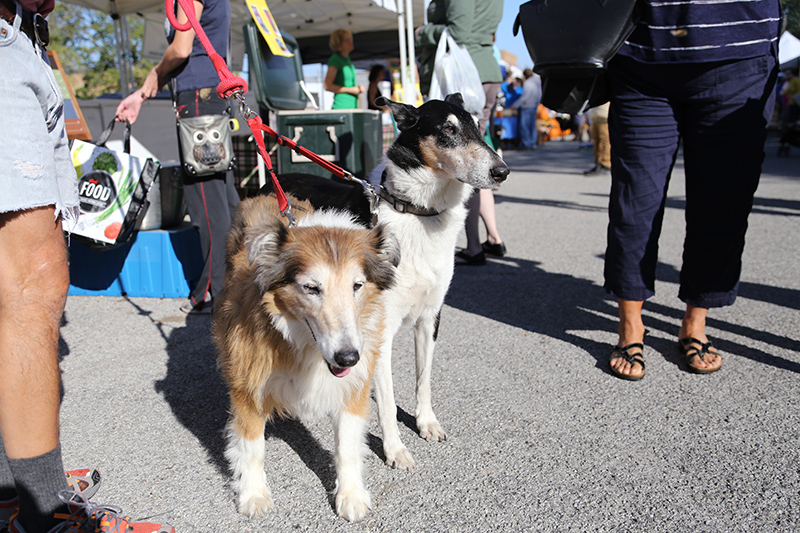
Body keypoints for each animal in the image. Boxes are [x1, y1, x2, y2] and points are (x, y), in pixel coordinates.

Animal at [212, 192, 400, 520]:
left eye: (357, 285)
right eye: (311, 288)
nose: (347, 358)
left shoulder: (354, 385)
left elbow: (347, 446)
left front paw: (350, 494)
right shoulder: (248, 385)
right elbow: (252, 447)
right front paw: (253, 493)